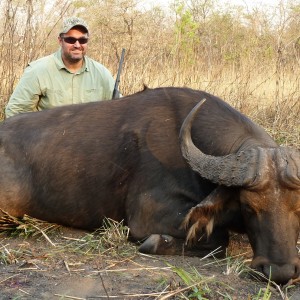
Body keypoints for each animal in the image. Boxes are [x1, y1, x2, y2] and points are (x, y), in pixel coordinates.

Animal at [0, 86, 298, 284]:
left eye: (298, 209)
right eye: (248, 207)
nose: (280, 272)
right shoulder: (147, 218)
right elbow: (218, 240)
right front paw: (156, 243)